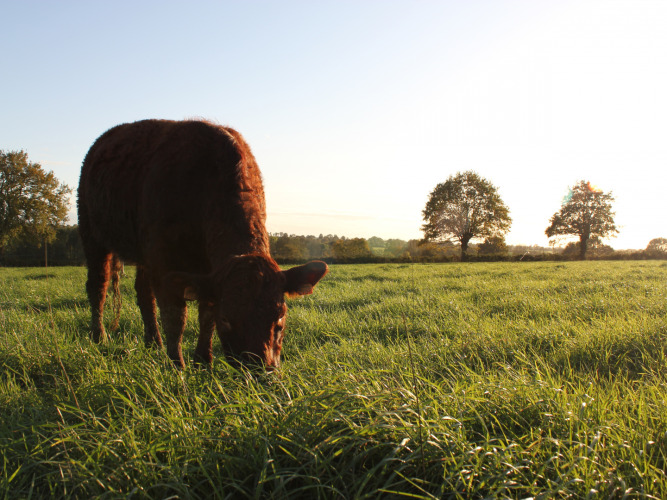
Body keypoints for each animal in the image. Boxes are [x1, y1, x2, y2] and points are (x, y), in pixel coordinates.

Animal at [77, 119, 328, 370]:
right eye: (226, 318)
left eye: (280, 316)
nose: (261, 369)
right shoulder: (165, 263)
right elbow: (176, 317)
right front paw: (177, 364)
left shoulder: (207, 273)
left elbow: (206, 313)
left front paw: (203, 360)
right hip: (91, 232)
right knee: (98, 285)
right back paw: (99, 336)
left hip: (142, 254)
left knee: (143, 293)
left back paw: (153, 343)